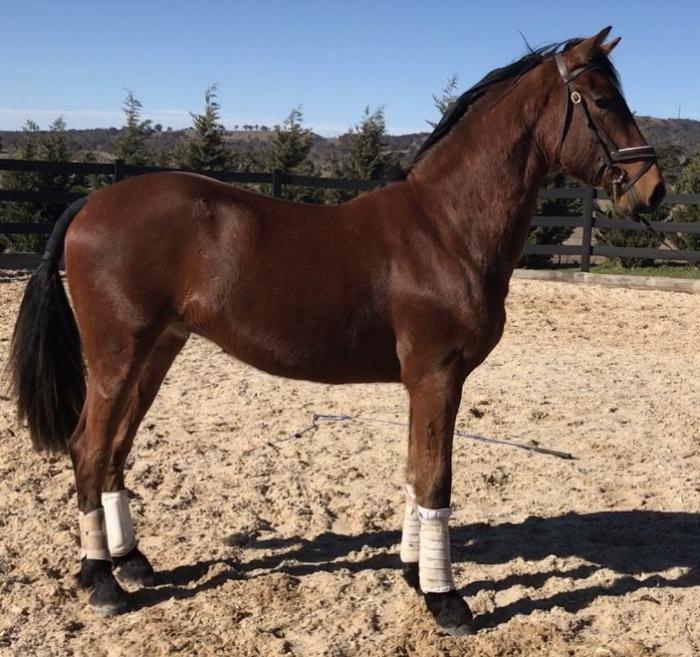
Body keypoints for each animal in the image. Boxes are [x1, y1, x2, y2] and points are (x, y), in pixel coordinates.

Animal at [8, 27, 664, 635]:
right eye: (602, 99)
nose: (652, 190)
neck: (445, 227)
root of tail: (92, 203)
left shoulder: (423, 383)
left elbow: (415, 473)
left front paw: (414, 575)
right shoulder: (439, 376)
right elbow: (436, 481)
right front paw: (446, 601)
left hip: (158, 350)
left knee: (116, 450)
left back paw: (132, 562)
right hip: (117, 355)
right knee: (89, 448)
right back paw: (102, 582)